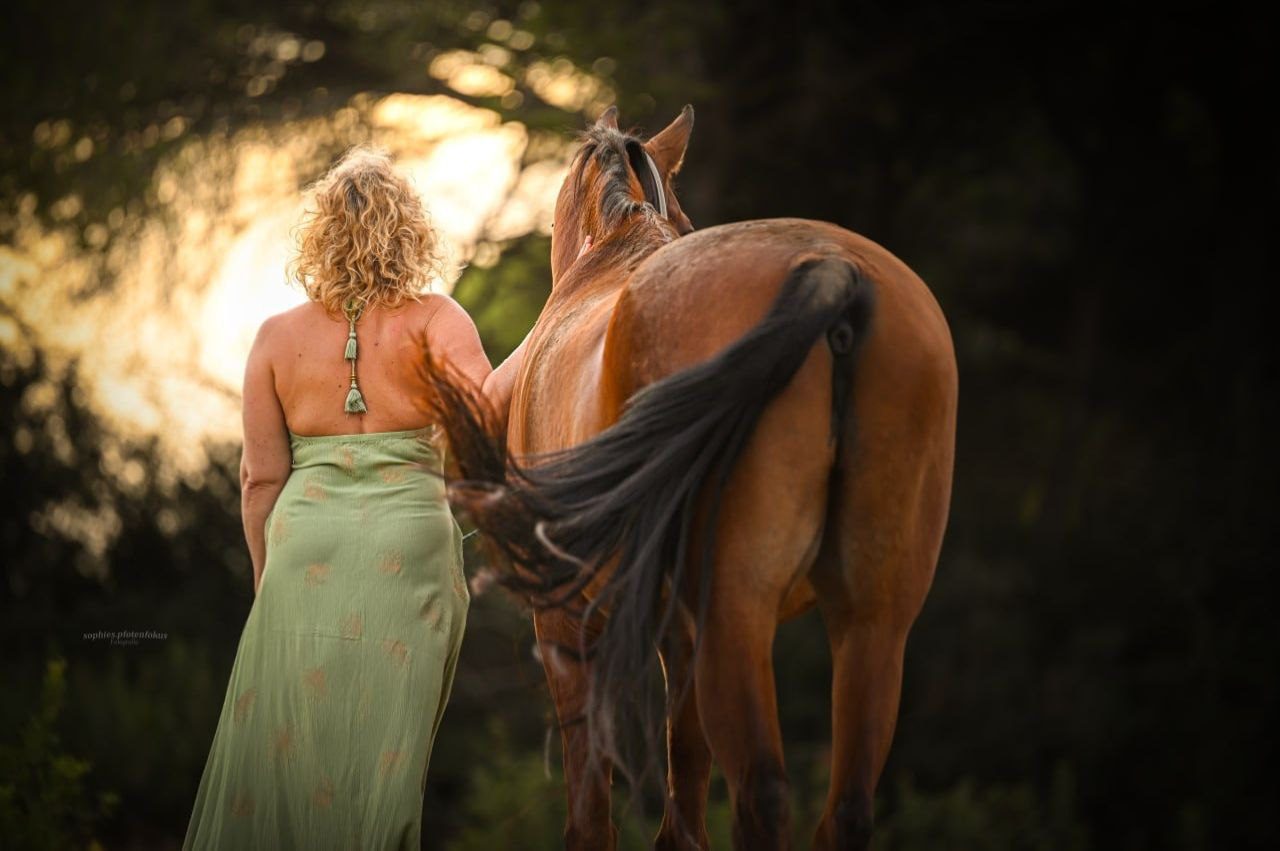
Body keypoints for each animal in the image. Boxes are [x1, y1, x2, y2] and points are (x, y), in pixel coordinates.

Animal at [422, 106, 962, 849]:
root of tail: (831, 271)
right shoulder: (674, 633)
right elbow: (685, 795)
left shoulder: (566, 623)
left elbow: (592, 810)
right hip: (874, 620)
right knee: (845, 806)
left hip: (735, 610)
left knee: (763, 791)